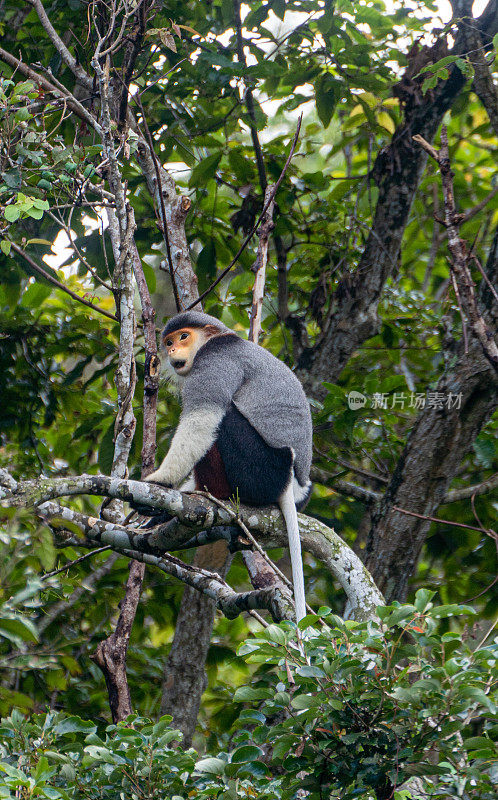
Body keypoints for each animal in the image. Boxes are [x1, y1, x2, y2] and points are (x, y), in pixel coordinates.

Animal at [146, 310, 314, 620]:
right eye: (169, 342)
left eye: (184, 337)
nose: (172, 351)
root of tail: (291, 483)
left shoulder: (215, 361)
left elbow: (203, 417)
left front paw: (161, 481)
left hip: (261, 470)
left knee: (224, 416)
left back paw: (216, 496)